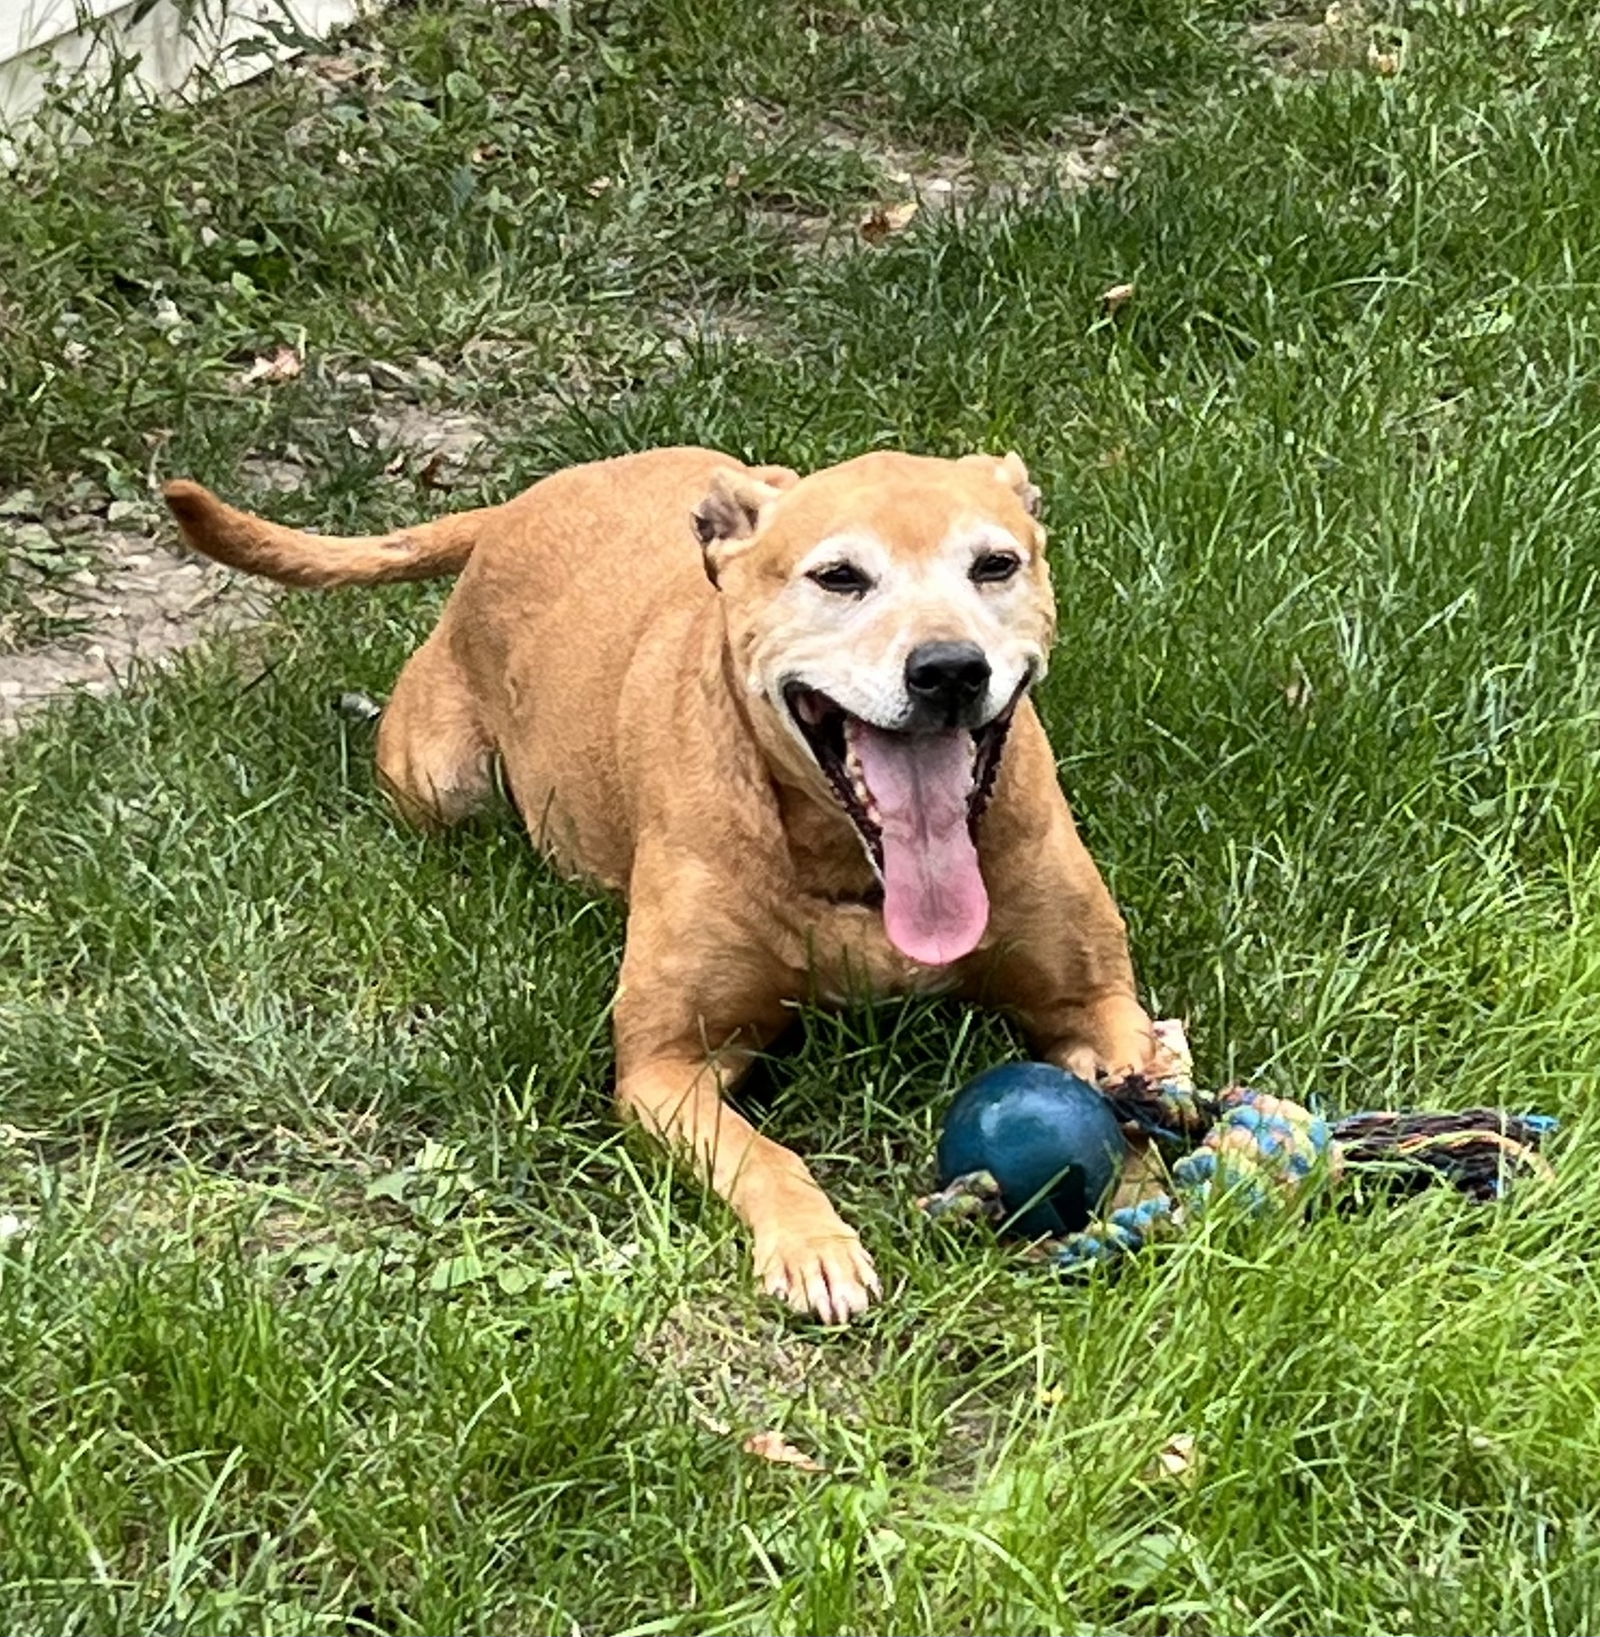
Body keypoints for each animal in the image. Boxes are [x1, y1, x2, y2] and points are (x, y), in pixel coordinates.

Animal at [168, 445, 1152, 1316]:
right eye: (838, 578)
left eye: (996, 564)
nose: (949, 669)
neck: (849, 865)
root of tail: (517, 505)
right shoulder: (665, 1067)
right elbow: (763, 1154)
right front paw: (813, 1246)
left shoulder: (1093, 1001)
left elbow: (1138, 1081)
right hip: (441, 784)